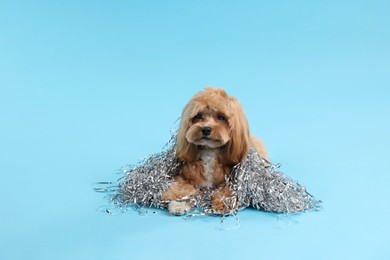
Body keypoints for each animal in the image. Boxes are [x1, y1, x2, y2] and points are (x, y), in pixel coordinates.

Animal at [160, 87, 266, 215]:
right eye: (198, 116)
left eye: (221, 117)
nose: (206, 129)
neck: (209, 151)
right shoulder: (185, 176)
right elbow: (182, 187)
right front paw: (179, 203)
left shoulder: (232, 181)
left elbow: (226, 191)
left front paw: (223, 204)